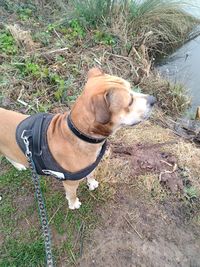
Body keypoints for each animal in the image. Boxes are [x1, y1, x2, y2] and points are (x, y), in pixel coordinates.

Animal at [0, 68, 155, 209]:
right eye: (130, 101)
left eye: (131, 88)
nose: (154, 100)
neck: (80, 134)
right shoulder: (70, 183)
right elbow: (72, 194)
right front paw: (74, 204)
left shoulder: (92, 165)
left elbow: (91, 174)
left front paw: (91, 183)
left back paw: (18, 165)